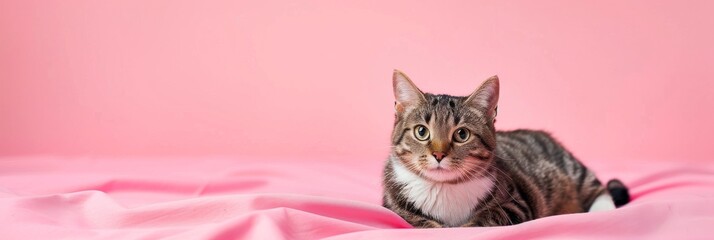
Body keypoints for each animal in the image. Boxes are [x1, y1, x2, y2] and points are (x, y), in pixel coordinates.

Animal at [382, 70, 624, 228]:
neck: (444, 188)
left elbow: (487, 218)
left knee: (599, 189)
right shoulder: (394, 207)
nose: (439, 154)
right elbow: (418, 221)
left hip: (572, 171)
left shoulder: (518, 204)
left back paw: (603, 213)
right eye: (421, 132)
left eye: (462, 135)